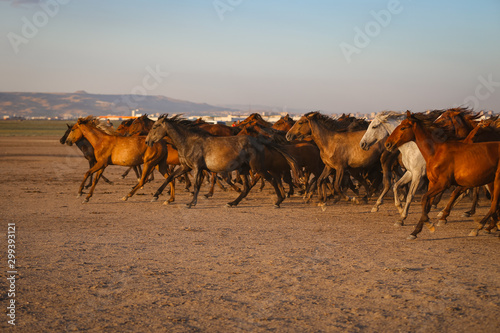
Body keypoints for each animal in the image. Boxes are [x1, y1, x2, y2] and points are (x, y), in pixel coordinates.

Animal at [146, 115, 300, 208]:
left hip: (257, 168)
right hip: (244, 169)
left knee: (272, 180)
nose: (147, 141)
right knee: (247, 187)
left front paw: (191, 203)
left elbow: (196, 185)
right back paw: (232, 203)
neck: (189, 142)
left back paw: (279, 201)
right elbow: (170, 177)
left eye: (155, 127)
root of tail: (259, 140)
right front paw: (157, 196)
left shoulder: (196, 168)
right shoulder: (185, 167)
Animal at [384, 111, 500, 239]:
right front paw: (414, 230)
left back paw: (479, 227)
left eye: (403, 128)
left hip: (494, 181)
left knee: (493, 204)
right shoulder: (427, 180)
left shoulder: (438, 181)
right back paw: (490, 225)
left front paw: (426, 223)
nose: (387, 144)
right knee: (493, 203)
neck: (435, 152)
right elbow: (423, 201)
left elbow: (420, 197)